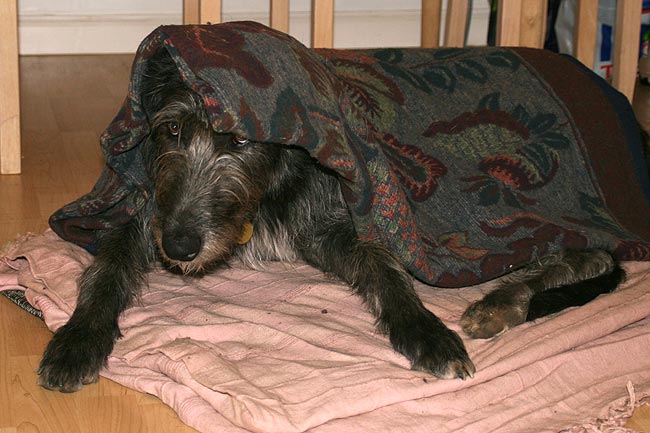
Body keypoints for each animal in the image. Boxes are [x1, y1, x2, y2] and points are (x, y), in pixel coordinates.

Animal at [37, 48, 625, 393]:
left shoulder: (336, 220)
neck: (268, 189)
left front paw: (425, 331)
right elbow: (107, 268)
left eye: (241, 140)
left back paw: (498, 304)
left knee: (587, 255)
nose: (180, 247)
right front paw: (78, 338)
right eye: (171, 130)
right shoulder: (151, 214)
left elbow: (387, 270)